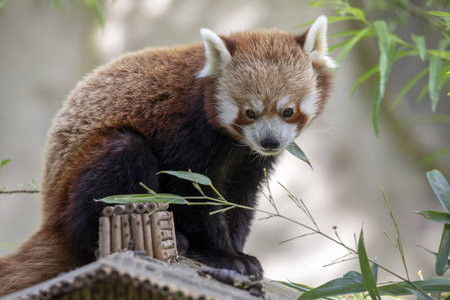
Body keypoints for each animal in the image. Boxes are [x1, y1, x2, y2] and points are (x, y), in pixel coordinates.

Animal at [0, 15, 332, 294]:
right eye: (250, 112)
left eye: (288, 111)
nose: (270, 142)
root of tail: (50, 217)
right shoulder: (186, 130)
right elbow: (192, 195)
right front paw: (224, 255)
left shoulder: (248, 159)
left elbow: (239, 198)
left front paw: (240, 252)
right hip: (82, 178)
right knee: (123, 159)